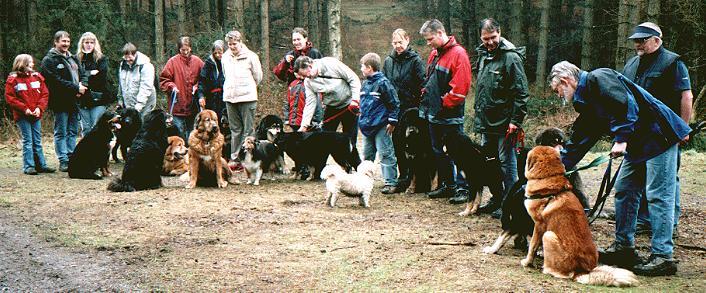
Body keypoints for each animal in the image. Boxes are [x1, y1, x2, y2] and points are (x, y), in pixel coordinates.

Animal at [516, 145, 640, 286]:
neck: (549, 178)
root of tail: (581, 272)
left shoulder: (539, 226)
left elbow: (532, 246)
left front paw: (527, 262)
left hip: (548, 236)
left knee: (562, 274)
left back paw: (547, 269)